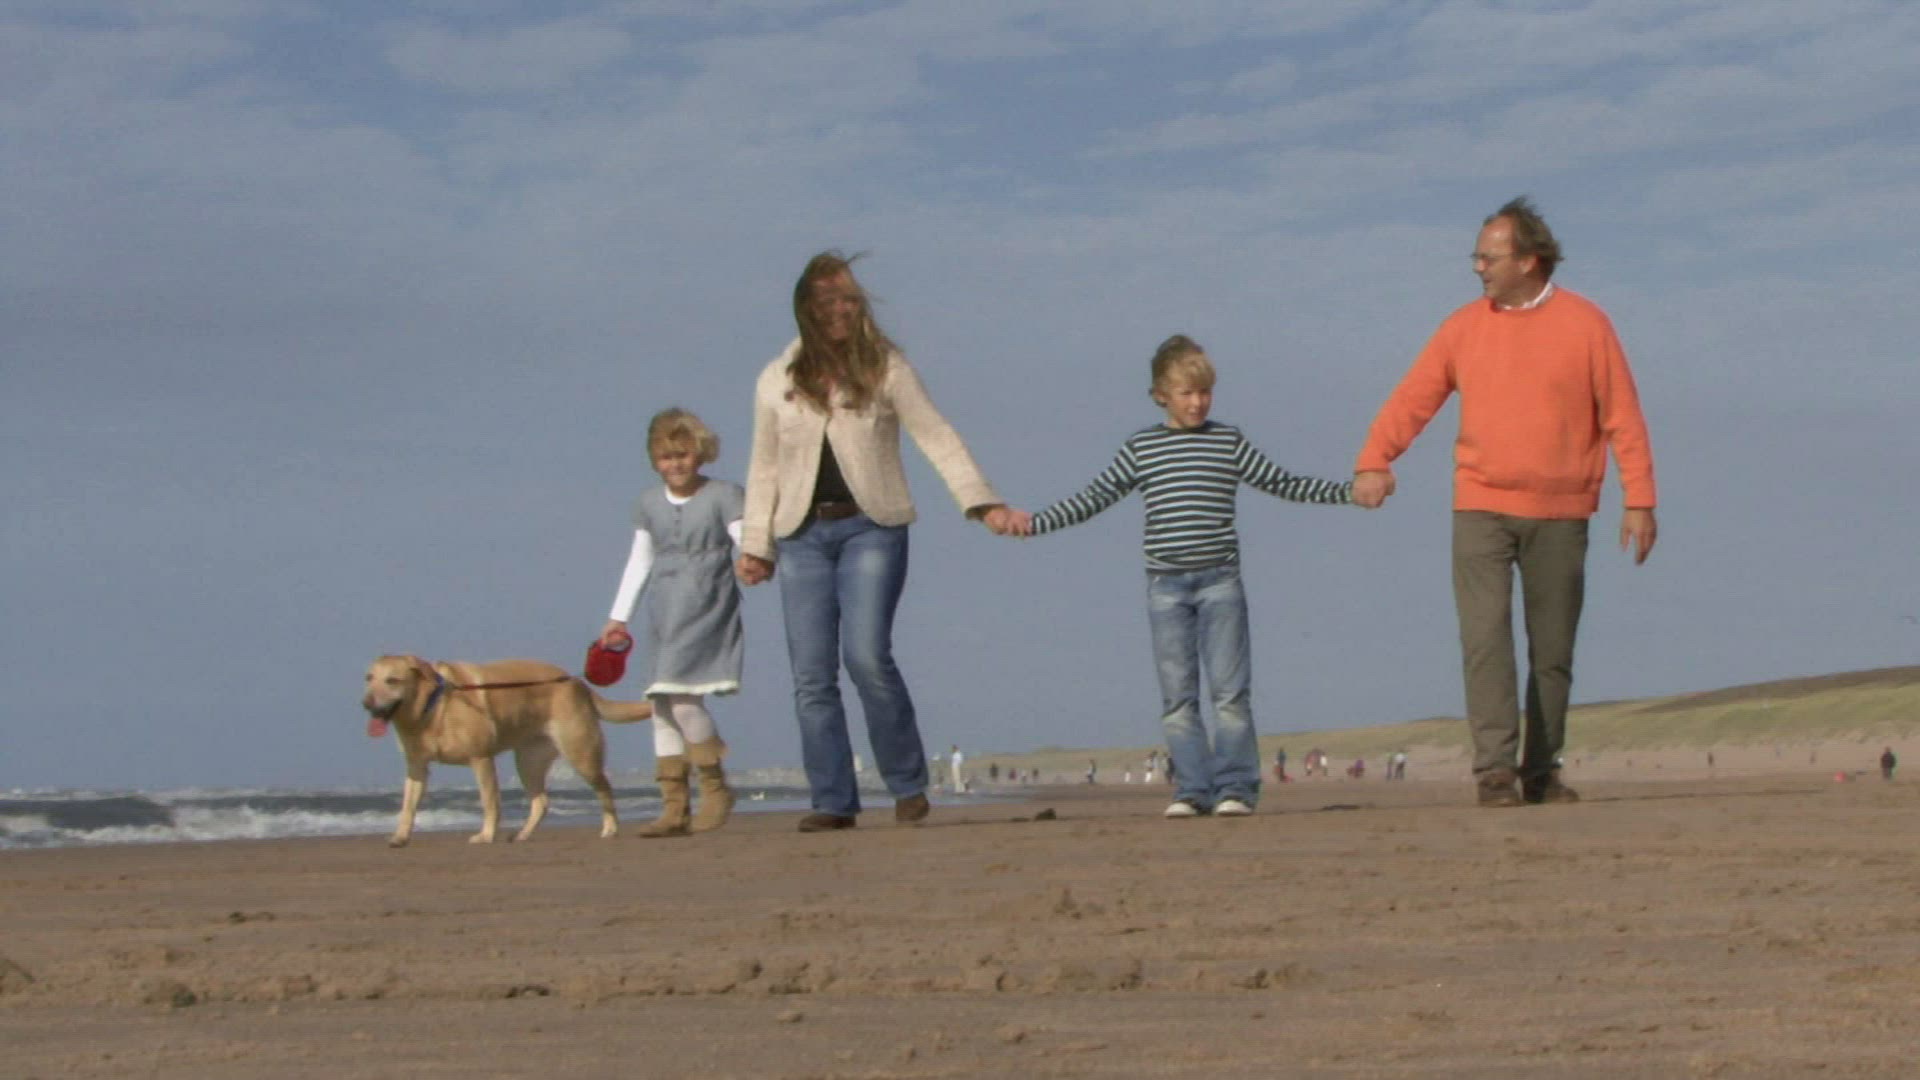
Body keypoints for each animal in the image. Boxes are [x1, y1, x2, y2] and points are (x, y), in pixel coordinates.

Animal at [360, 655, 653, 847]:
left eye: (392, 680)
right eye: (369, 678)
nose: (366, 704)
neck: (432, 708)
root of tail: (577, 683)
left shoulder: (481, 760)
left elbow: (490, 802)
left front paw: (486, 835)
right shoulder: (416, 768)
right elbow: (407, 806)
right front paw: (400, 836)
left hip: (580, 755)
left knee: (605, 788)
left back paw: (610, 828)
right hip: (527, 762)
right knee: (541, 801)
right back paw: (523, 834)